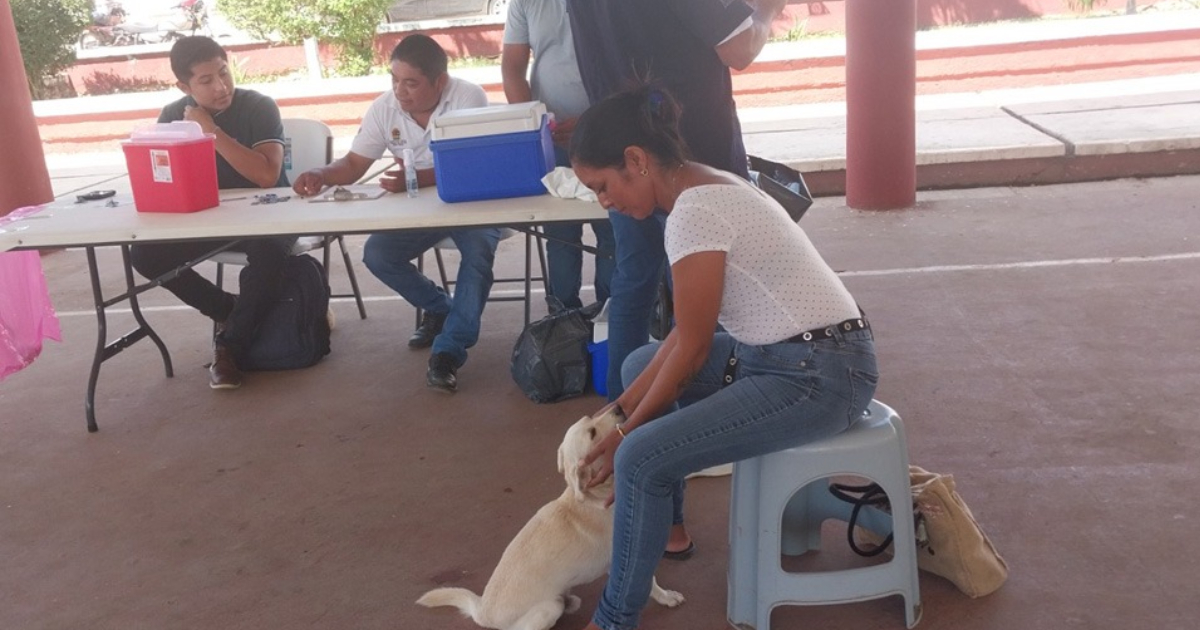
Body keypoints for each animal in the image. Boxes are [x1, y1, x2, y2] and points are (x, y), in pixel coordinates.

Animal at [417, 408, 686, 628]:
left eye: (590, 418)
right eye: (592, 433)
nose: (619, 406)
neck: (595, 494)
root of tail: (483, 611)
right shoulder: (625, 555)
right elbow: (649, 583)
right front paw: (667, 597)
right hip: (548, 608)